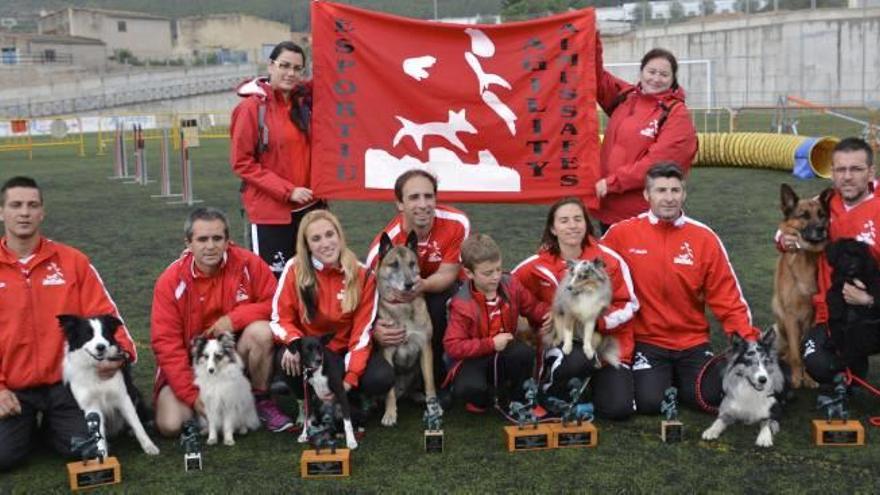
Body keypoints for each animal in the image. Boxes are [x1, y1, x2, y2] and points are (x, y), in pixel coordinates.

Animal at [374, 232, 436, 426]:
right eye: (394, 264)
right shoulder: (388, 353)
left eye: (412, 263)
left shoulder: (425, 348)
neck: (403, 306)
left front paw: (433, 408)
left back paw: (417, 396)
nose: (409, 284)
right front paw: (390, 414)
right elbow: (389, 392)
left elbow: (430, 383)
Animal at [768, 184, 832, 390]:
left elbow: (804, 351)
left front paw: (808, 378)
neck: (805, 257)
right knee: (786, 353)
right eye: (804, 215)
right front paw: (797, 378)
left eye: (822, 215)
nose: (822, 229)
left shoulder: (813, 316)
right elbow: (797, 354)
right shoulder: (791, 316)